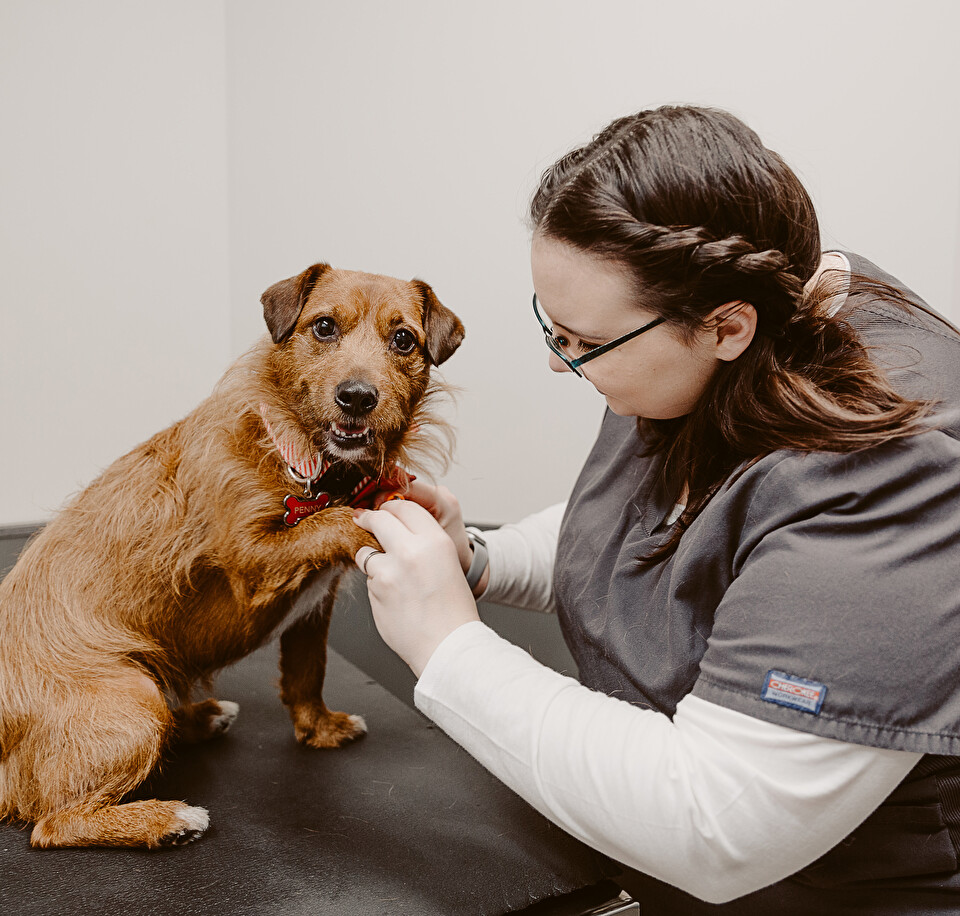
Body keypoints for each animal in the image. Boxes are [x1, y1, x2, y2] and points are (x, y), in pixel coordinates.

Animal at [0, 262, 464, 852]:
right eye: (324, 327)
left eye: (403, 339)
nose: (357, 397)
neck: (312, 469)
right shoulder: (254, 563)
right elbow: (332, 526)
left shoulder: (313, 611)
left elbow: (307, 673)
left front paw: (318, 730)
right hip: (132, 699)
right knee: (54, 821)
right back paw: (167, 820)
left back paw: (198, 720)